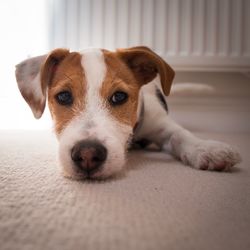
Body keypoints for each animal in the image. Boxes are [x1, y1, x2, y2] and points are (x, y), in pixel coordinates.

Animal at [14, 46, 241, 180]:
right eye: (63, 96)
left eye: (119, 96)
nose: (87, 155)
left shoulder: (160, 123)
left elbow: (180, 134)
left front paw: (206, 149)